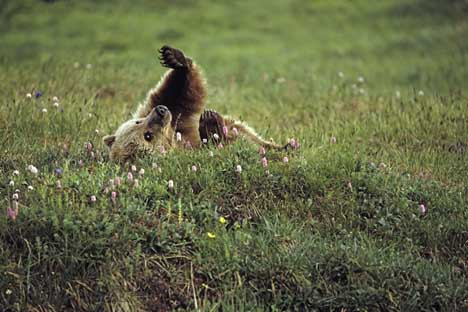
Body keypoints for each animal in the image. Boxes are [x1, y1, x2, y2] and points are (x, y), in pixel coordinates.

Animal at [104, 45, 290, 162]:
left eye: (137, 121)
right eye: (147, 136)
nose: (161, 111)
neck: (173, 137)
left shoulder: (178, 120)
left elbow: (179, 95)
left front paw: (175, 58)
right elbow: (226, 146)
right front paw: (211, 124)